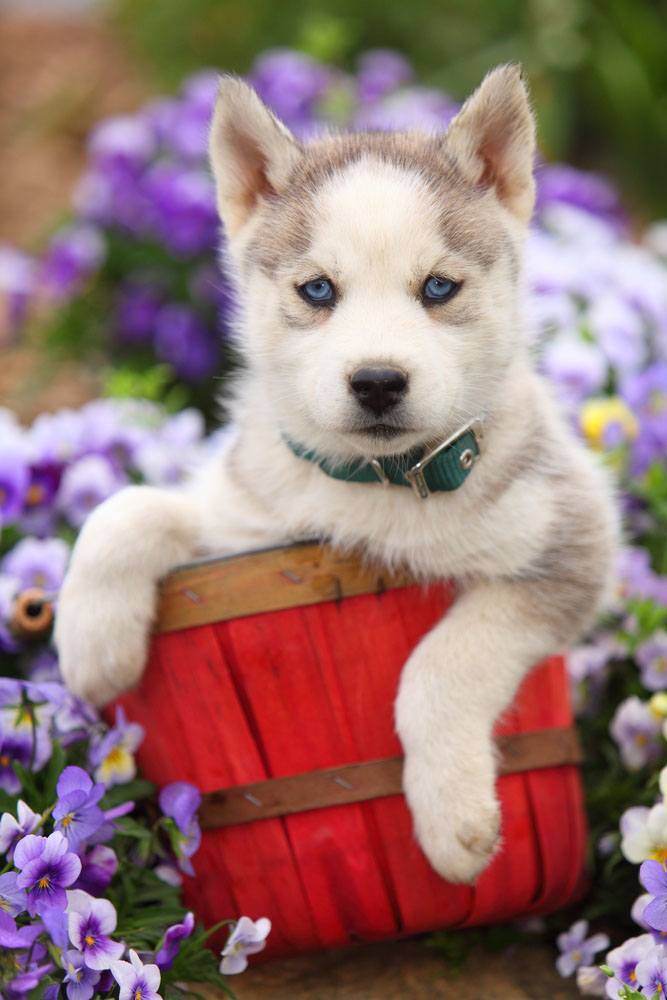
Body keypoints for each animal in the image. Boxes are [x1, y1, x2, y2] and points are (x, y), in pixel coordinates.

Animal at [57, 64, 620, 884]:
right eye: (317, 289)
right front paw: (93, 646)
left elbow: (438, 667)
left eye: (439, 288)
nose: (378, 381)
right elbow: (128, 507)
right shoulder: (247, 523)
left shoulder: (569, 546)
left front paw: (452, 823)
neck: (378, 483)